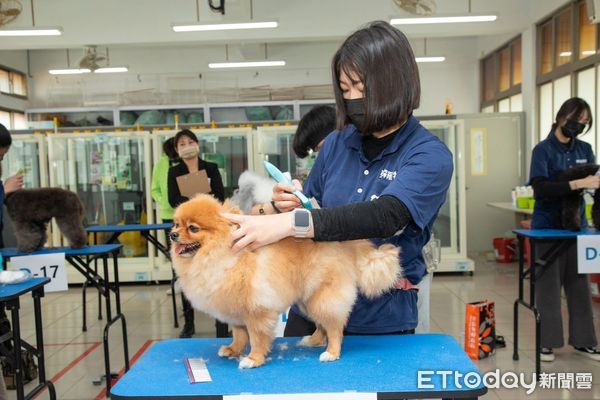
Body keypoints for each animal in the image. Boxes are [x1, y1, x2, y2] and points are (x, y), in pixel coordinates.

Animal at [170, 194, 404, 368]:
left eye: (193, 228)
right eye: (176, 224)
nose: (172, 234)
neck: (224, 255)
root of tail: (347, 244)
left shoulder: (256, 310)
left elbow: (256, 337)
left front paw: (253, 359)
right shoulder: (236, 311)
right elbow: (239, 334)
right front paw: (233, 350)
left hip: (323, 297)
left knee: (335, 327)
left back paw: (331, 352)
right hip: (308, 299)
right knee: (322, 325)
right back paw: (314, 340)